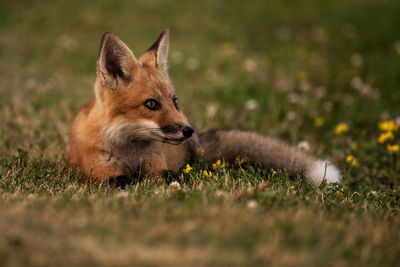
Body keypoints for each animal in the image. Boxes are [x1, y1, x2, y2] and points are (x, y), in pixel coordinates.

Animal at [65, 28, 340, 184]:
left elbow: (165, 177)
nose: (189, 130)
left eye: (175, 101)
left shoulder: (157, 167)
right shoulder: (102, 174)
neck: (131, 153)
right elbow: (121, 181)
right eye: (151, 104)